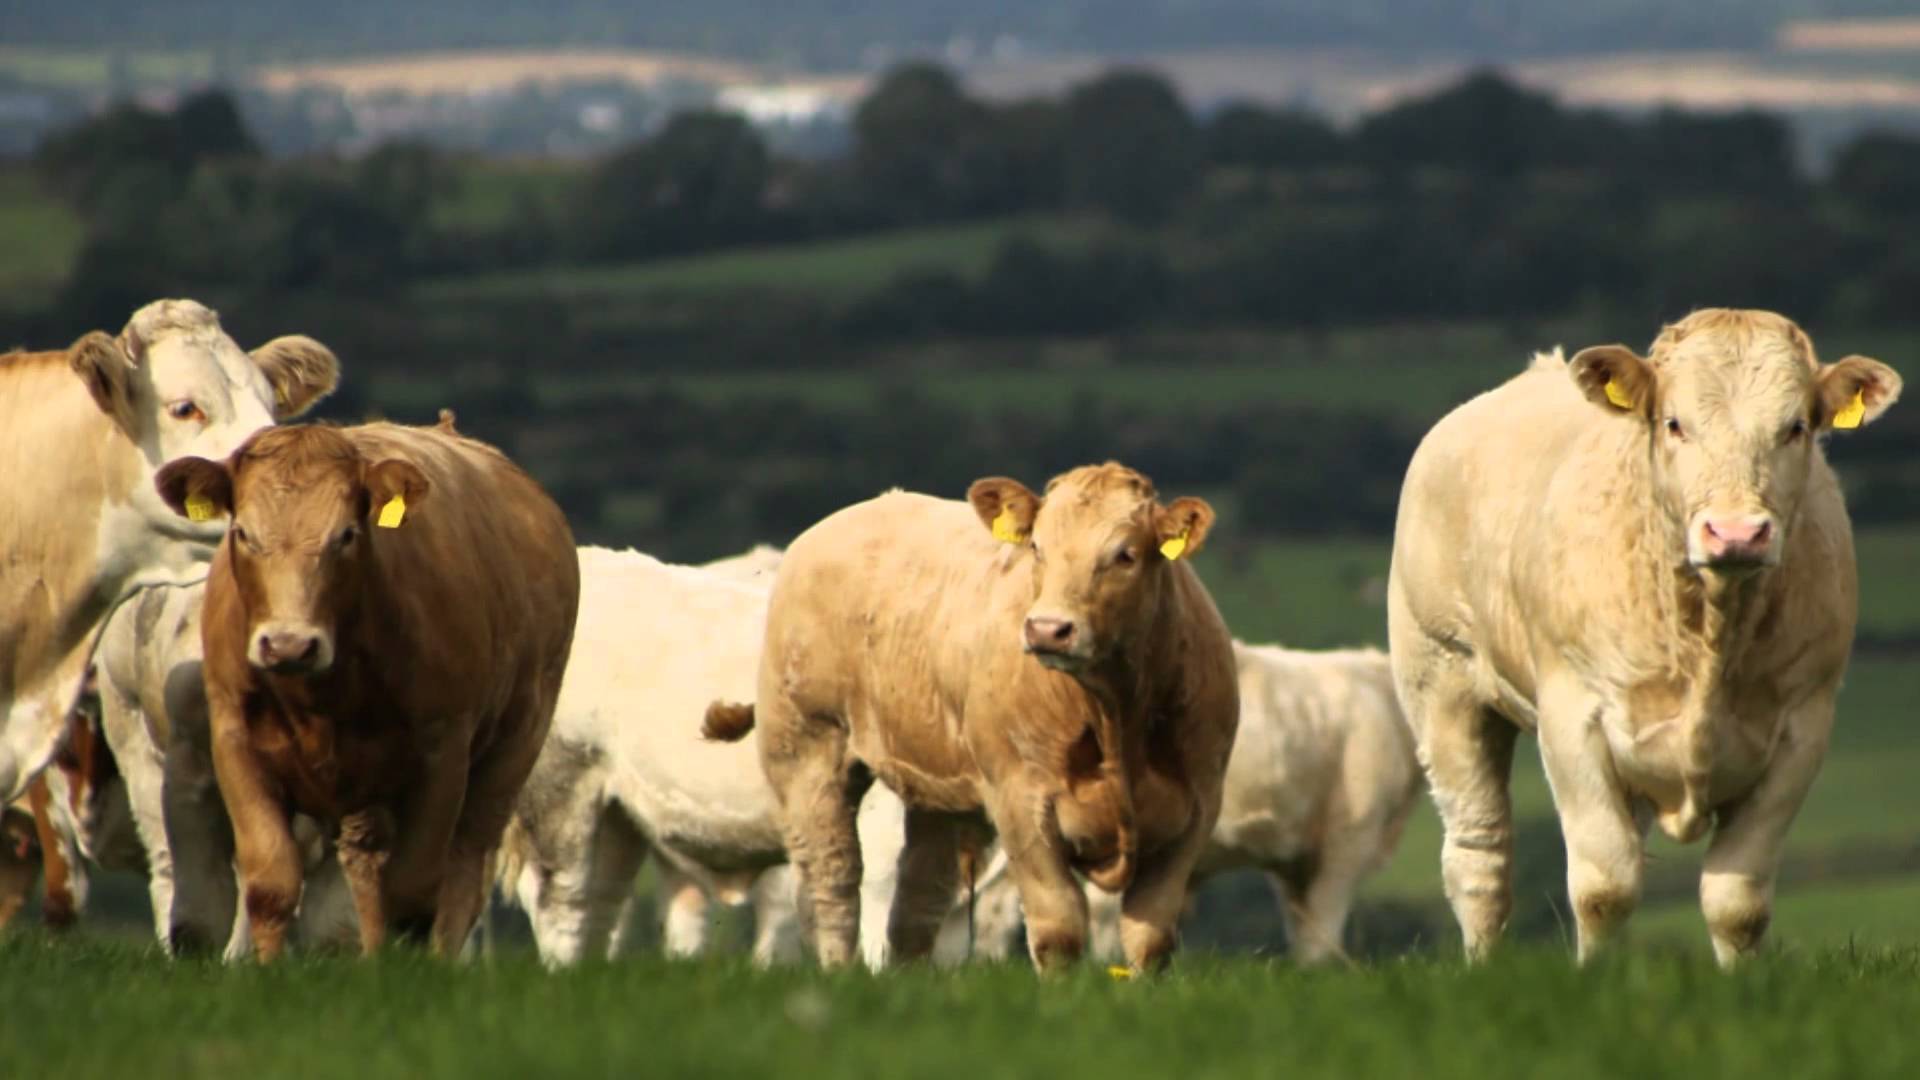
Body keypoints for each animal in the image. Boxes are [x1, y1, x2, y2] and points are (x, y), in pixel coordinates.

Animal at [154, 419, 580, 959]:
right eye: (242, 533)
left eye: (347, 534)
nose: (289, 645)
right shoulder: (235, 743)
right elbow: (272, 885)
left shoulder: (442, 754)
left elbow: (416, 892)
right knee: (367, 867)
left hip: (512, 750)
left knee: (463, 869)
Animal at [707, 463, 1239, 973]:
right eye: (1038, 548)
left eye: (1125, 554)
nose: (1048, 629)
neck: (1114, 717)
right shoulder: (1020, 800)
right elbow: (1058, 928)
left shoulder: (1196, 808)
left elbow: (1150, 937)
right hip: (805, 748)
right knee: (829, 879)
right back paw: (837, 971)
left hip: (937, 790)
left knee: (919, 897)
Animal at [1387, 308, 1900, 967]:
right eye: (1674, 423)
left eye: (1797, 427)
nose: (1736, 532)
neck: (1710, 633)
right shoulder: (1573, 718)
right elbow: (1605, 886)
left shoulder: (1802, 730)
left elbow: (1737, 901)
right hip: (1442, 685)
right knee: (1480, 858)